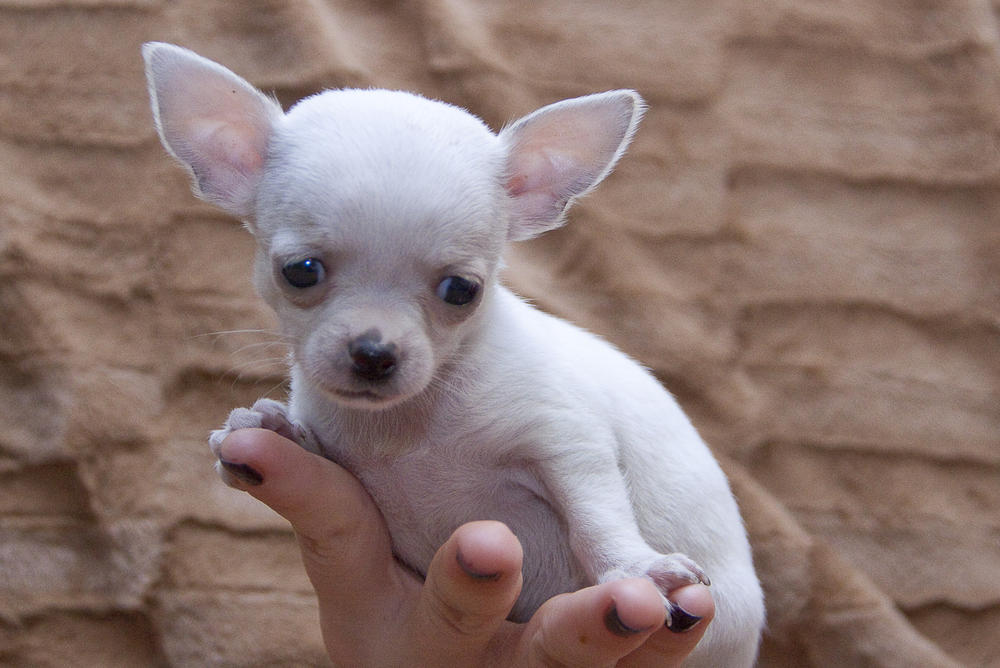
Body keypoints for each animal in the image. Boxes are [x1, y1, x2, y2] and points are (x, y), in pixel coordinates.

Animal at [143, 42, 764, 665]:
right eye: (300, 272)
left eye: (462, 290)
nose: (374, 353)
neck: (409, 426)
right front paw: (276, 426)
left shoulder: (568, 443)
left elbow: (596, 514)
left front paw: (634, 568)